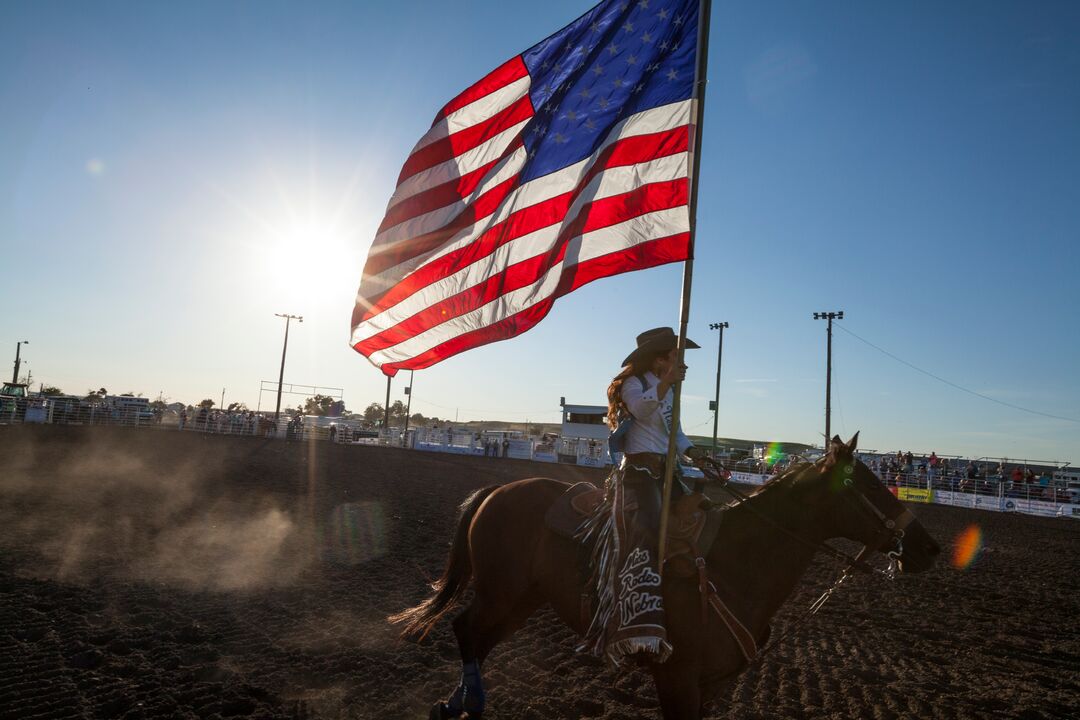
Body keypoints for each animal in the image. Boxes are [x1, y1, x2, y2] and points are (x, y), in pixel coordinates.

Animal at [393, 433, 941, 720]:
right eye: (868, 483)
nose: (930, 547)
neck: (733, 562)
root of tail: (497, 491)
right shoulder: (676, 678)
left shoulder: (714, 685)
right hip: (500, 590)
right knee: (465, 630)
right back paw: (467, 703)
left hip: (522, 597)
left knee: (479, 638)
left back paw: (458, 705)